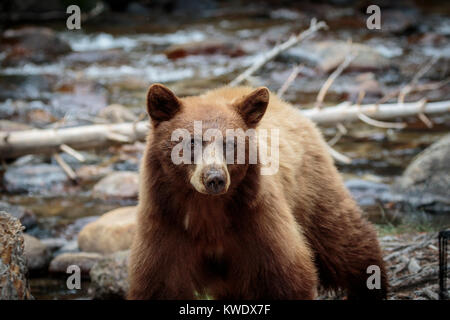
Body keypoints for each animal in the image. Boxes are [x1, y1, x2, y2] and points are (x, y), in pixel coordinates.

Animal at [128, 84, 388, 300]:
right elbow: (160, 285)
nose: (215, 178)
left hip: (312, 189)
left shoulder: (257, 220)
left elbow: (288, 278)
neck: (208, 211)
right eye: (191, 141)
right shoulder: (166, 225)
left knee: (342, 239)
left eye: (230, 143)